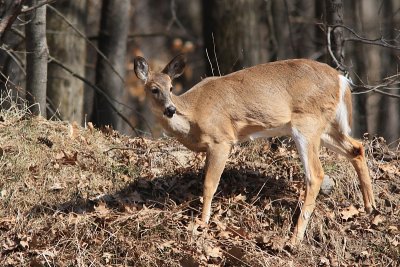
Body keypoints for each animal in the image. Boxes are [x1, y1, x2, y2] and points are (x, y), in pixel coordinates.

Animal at [134, 55, 376, 245]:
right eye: (154, 89)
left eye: (171, 88)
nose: (170, 109)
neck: (194, 114)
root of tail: (341, 80)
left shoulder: (221, 140)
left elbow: (209, 184)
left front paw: (201, 223)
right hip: (323, 127)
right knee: (357, 148)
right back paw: (370, 208)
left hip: (307, 123)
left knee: (316, 174)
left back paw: (294, 238)